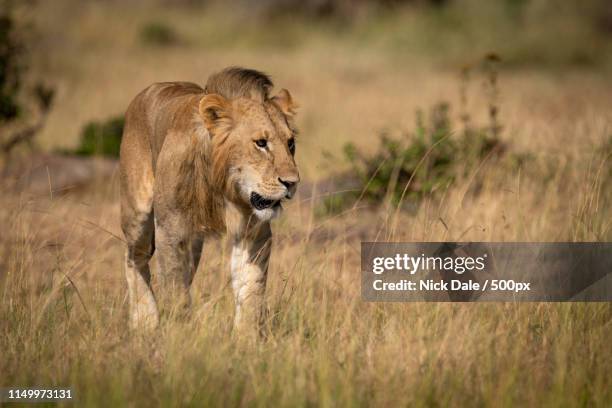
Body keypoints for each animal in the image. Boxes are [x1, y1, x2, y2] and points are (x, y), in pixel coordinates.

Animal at [119, 67, 298, 334]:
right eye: (261, 143)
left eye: (291, 143)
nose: (292, 182)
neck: (225, 185)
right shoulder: (170, 231)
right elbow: (175, 292)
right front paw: (178, 334)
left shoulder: (254, 233)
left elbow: (251, 290)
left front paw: (246, 338)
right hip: (138, 214)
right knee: (134, 259)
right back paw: (144, 321)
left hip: (194, 244)